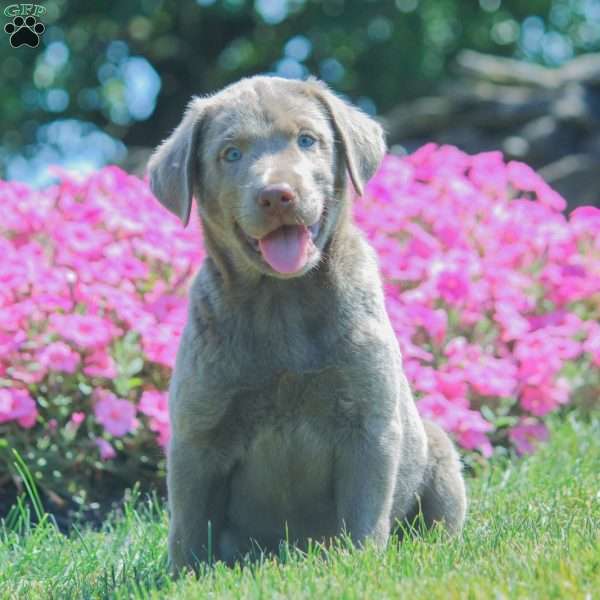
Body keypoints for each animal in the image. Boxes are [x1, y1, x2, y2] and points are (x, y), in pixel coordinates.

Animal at [148, 75, 466, 572]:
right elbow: (189, 523)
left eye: (307, 140)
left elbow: (364, 510)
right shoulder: (197, 432)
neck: (283, 301)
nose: (277, 194)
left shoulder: (369, 422)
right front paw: (185, 576)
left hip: (440, 454)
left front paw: (359, 563)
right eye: (231, 154)